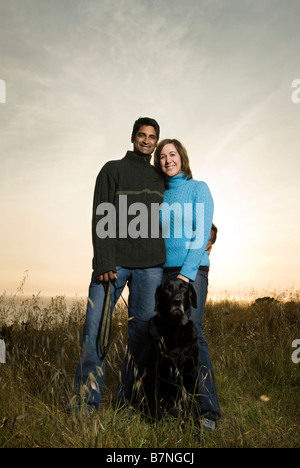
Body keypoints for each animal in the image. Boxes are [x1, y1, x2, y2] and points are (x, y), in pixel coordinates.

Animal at [143, 278, 199, 420]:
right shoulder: (158, 371)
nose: (177, 301)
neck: (175, 328)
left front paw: (193, 425)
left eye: (184, 288)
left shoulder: (191, 372)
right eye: (167, 289)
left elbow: (192, 406)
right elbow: (157, 405)